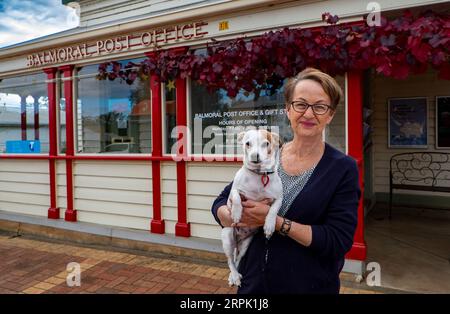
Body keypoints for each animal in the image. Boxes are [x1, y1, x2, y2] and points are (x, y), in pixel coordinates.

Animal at [221, 128, 282, 288]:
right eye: (247, 143)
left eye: (266, 143)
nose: (255, 155)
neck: (260, 174)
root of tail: (237, 239)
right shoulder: (235, 191)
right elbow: (236, 197)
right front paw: (236, 213)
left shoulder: (278, 198)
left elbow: (273, 210)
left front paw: (269, 226)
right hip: (228, 237)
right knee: (230, 260)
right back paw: (234, 276)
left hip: (245, 245)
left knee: (237, 259)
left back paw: (234, 276)